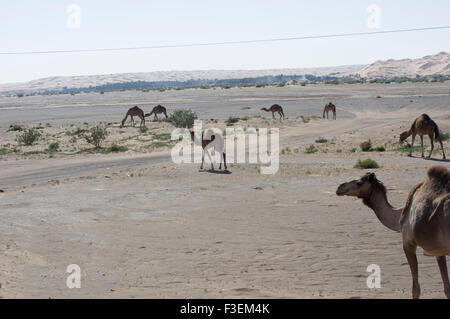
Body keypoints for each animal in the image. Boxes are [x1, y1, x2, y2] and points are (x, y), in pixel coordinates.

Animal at [338, 168, 450, 300]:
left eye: (359, 183)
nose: (339, 187)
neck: (399, 215)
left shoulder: (408, 243)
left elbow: (415, 290)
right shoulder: (438, 251)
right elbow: (447, 288)